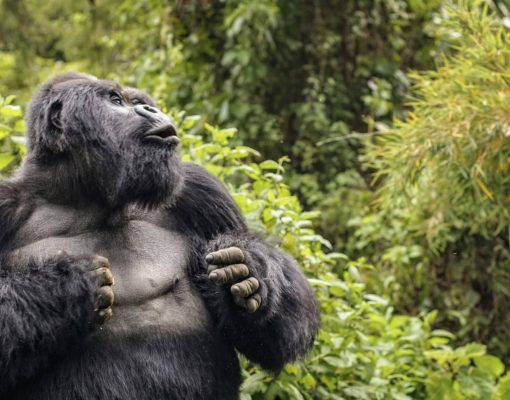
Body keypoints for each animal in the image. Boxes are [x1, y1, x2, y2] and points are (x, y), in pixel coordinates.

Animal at [0, 72, 318, 400]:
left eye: (139, 101)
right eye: (115, 101)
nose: (150, 110)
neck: (90, 198)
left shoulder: (200, 189)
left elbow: (271, 338)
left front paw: (249, 270)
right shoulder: (5, 206)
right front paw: (61, 289)